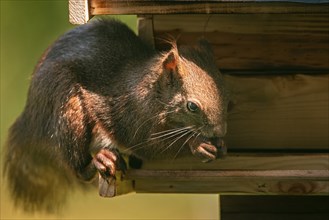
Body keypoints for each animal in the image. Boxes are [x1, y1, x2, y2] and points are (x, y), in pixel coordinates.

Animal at [3, 18, 228, 213]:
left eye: (227, 95)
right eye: (192, 106)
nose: (220, 130)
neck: (150, 92)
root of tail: (31, 116)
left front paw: (220, 144)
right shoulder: (134, 119)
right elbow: (154, 147)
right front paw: (196, 144)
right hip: (68, 114)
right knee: (77, 168)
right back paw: (101, 160)